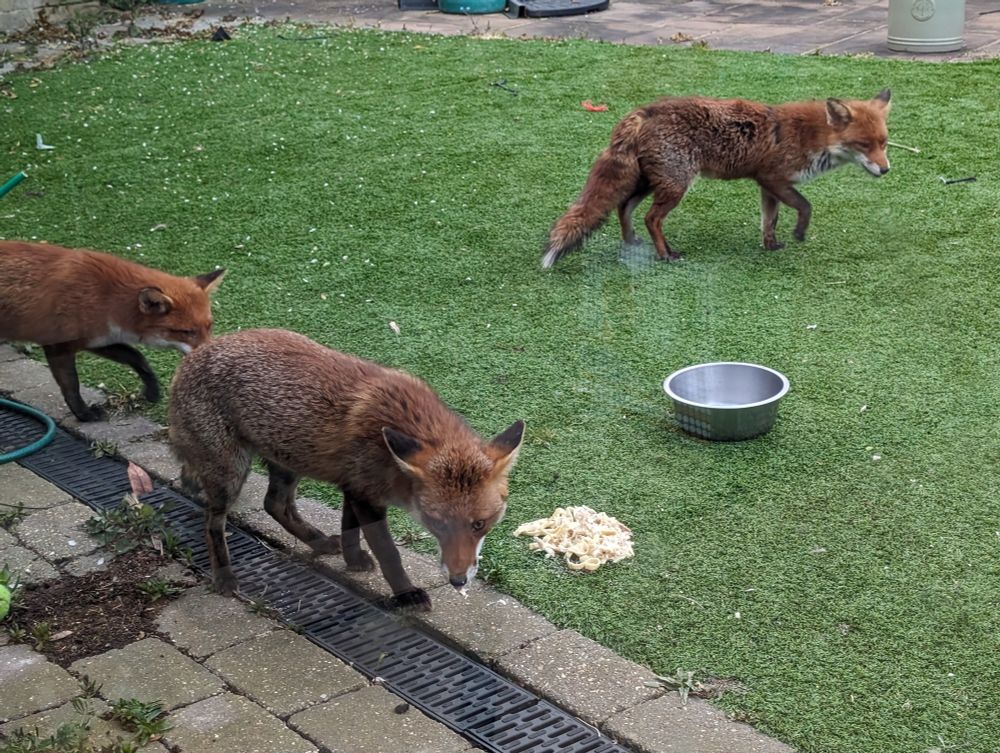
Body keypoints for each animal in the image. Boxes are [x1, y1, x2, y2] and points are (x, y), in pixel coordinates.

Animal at [0, 241, 225, 422]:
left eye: (209, 326)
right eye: (186, 331)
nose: (211, 356)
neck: (106, 297)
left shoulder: (98, 339)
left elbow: (137, 357)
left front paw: (152, 390)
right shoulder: (58, 345)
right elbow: (71, 385)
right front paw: (84, 414)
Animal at [168, 328, 525, 612]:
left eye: (479, 524)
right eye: (437, 524)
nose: (458, 580)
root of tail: (192, 356)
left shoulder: (355, 486)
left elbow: (350, 529)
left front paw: (353, 561)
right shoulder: (365, 494)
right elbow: (388, 553)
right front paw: (406, 594)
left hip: (288, 461)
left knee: (275, 505)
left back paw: (319, 542)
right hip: (231, 473)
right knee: (213, 522)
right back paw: (224, 576)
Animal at [542, 89, 892, 267]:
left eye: (884, 142)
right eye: (864, 145)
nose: (886, 169)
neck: (810, 136)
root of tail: (644, 111)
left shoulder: (767, 186)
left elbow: (769, 221)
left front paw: (771, 245)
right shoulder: (774, 178)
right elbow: (806, 206)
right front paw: (799, 233)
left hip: (647, 181)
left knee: (623, 208)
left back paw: (632, 244)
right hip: (675, 185)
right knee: (652, 218)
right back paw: (665, 254)